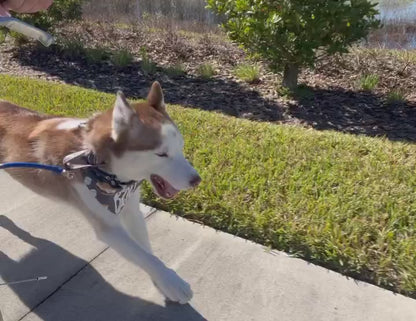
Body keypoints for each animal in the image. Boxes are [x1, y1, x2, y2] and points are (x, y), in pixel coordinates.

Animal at [0, 82, 202, 302]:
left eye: (181, 147)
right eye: (161, 154)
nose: (197, 180)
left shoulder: (131, 209)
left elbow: (146, 250)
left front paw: (161, 282)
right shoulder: (109, 228)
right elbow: (144, 256)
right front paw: (173, 283)